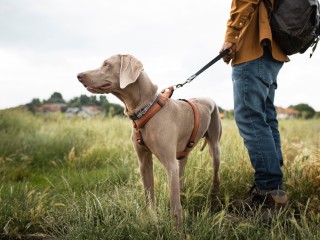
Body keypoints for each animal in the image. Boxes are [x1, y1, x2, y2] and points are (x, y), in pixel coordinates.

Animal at [76, 54, 221, 232]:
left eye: (106, 64)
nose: (79, 75)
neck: (145, 110)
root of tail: (209, 98)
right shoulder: (144, 162)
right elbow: (149, 196)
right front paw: (152, 221)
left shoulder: (169, 165)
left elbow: (175, 207)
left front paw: (178, 231)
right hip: (182, 154)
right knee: (181, 174)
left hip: (214, 147)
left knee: (215, 175)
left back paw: (214, 201)